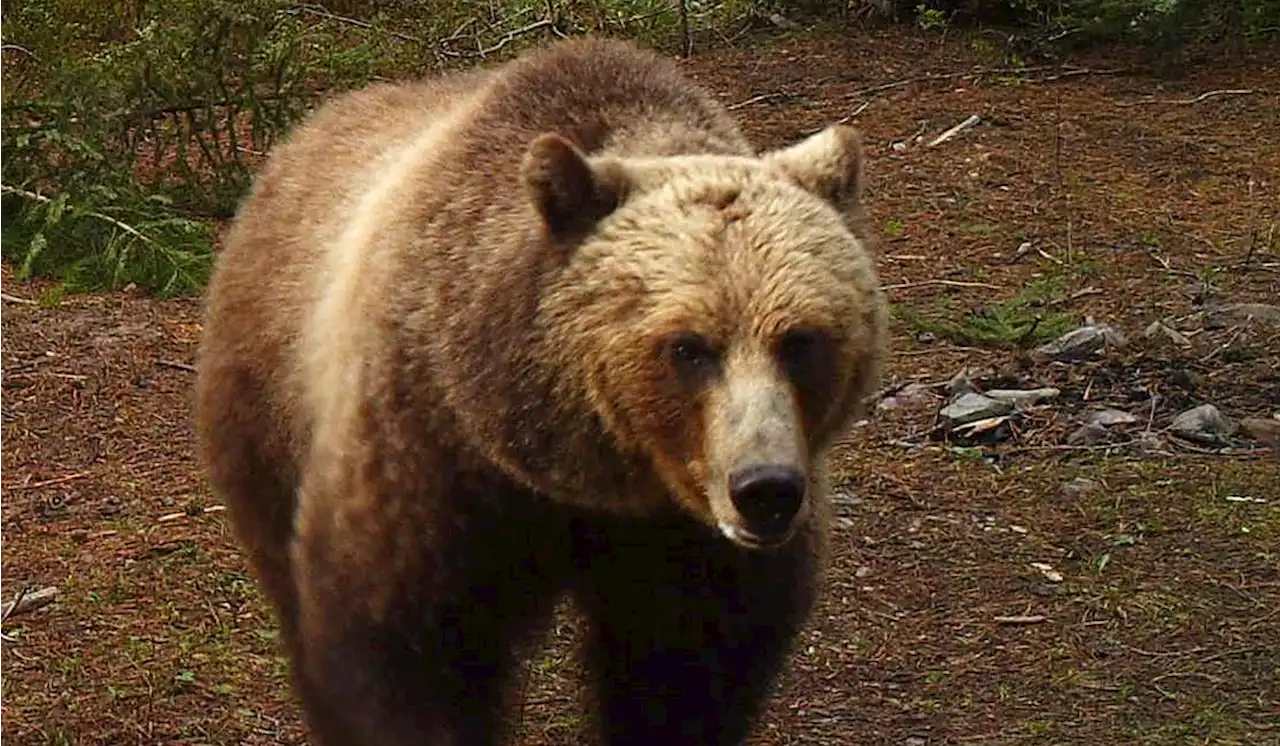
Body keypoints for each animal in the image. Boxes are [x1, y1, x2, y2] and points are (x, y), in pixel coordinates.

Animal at [194, 36, 885, 746]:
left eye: (800, 339)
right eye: (688, 347)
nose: (765, 490)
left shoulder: (685, 544)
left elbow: (687, 667)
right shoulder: (432, 453)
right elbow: (400, 647)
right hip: (266, 404)